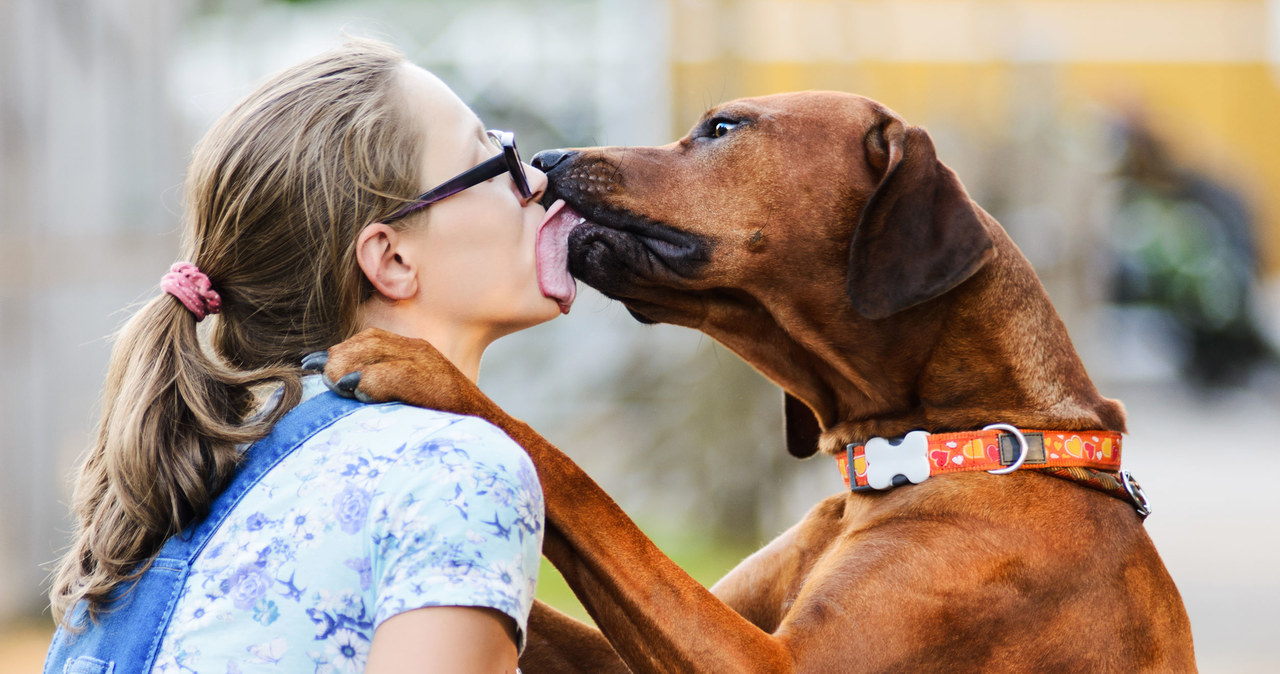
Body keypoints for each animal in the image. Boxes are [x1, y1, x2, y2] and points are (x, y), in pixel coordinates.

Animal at [322, 92, 1198, 670]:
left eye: (723, 128)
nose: (549, 160)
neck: (946, 446)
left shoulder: (775, 664)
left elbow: (581, 485)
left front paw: (428, 367)